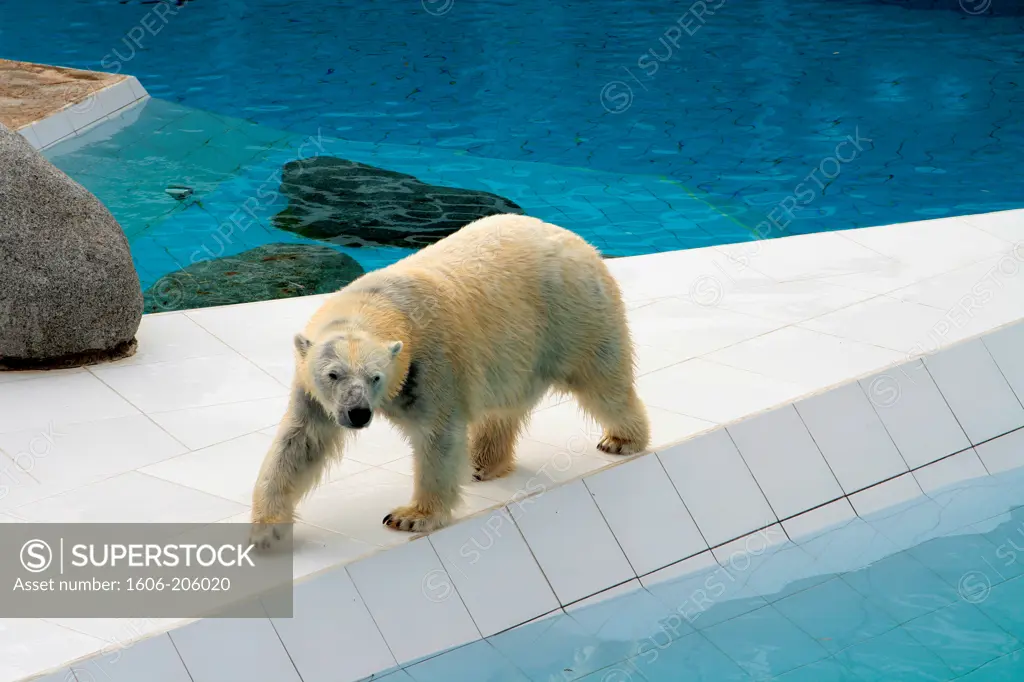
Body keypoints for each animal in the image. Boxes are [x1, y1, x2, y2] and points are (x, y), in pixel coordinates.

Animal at [249, 212, 647, 536]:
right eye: (333, 375)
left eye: (375, 376)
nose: (358, 413)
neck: (380, 302)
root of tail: (581, 242)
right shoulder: (312, 389)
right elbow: (301, 440)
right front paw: (267, 526)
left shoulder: (431, 361)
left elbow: (437, 436)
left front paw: (410, 516)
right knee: (504, 407)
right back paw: (482, 463)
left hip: (571, 314)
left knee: (601, 381)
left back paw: (622, 439)